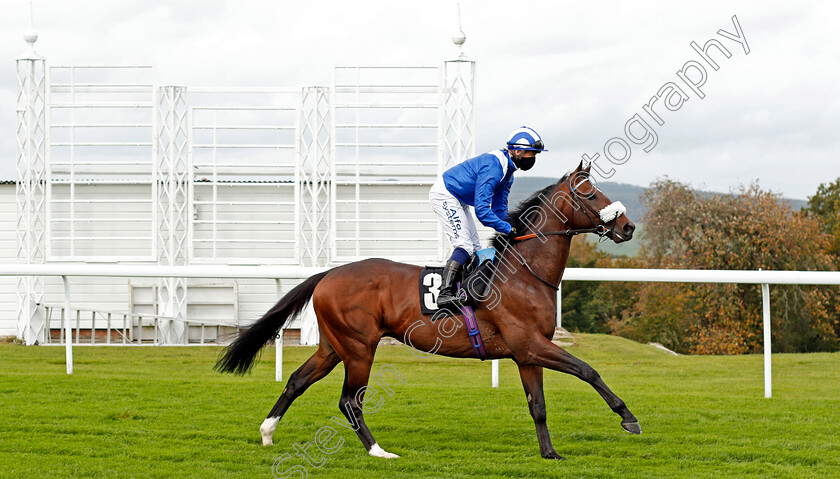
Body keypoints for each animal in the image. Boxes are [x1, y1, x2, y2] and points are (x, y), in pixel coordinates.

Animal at [213, 162, 640, 462]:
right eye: (591, 194)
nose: (628, 226)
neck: (524, 273)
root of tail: (329, 273)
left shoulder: (526, 354)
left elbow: (539, 406)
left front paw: (549, 453)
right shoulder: (531, 344)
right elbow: (588, 370)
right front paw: (628, 418)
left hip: (335, 346)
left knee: (297, 381)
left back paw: (268, 431)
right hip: (360, 348)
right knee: (350, 401)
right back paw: (378, 451)